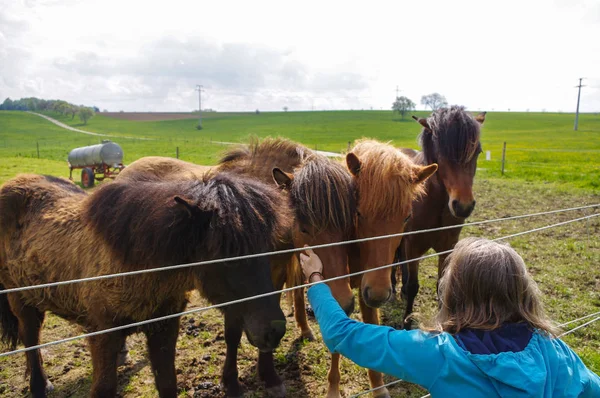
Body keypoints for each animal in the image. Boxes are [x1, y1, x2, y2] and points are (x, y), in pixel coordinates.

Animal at [0, 174, 288, 398]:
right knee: (30, 337)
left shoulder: (164, 328)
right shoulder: (103, 334)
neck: (135, 263)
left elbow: (167, 383)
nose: (274, 330)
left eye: (267, 247)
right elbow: (104, 388)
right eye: (226, 254)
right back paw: (39, 385)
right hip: (21, 302)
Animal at [394, 106, 488, 330]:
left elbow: (441, 285)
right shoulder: (413, 246)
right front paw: (406, 322)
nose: (463, 205)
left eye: (477, 152)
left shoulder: (447, 247)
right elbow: (413, 285)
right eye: (442, 153)